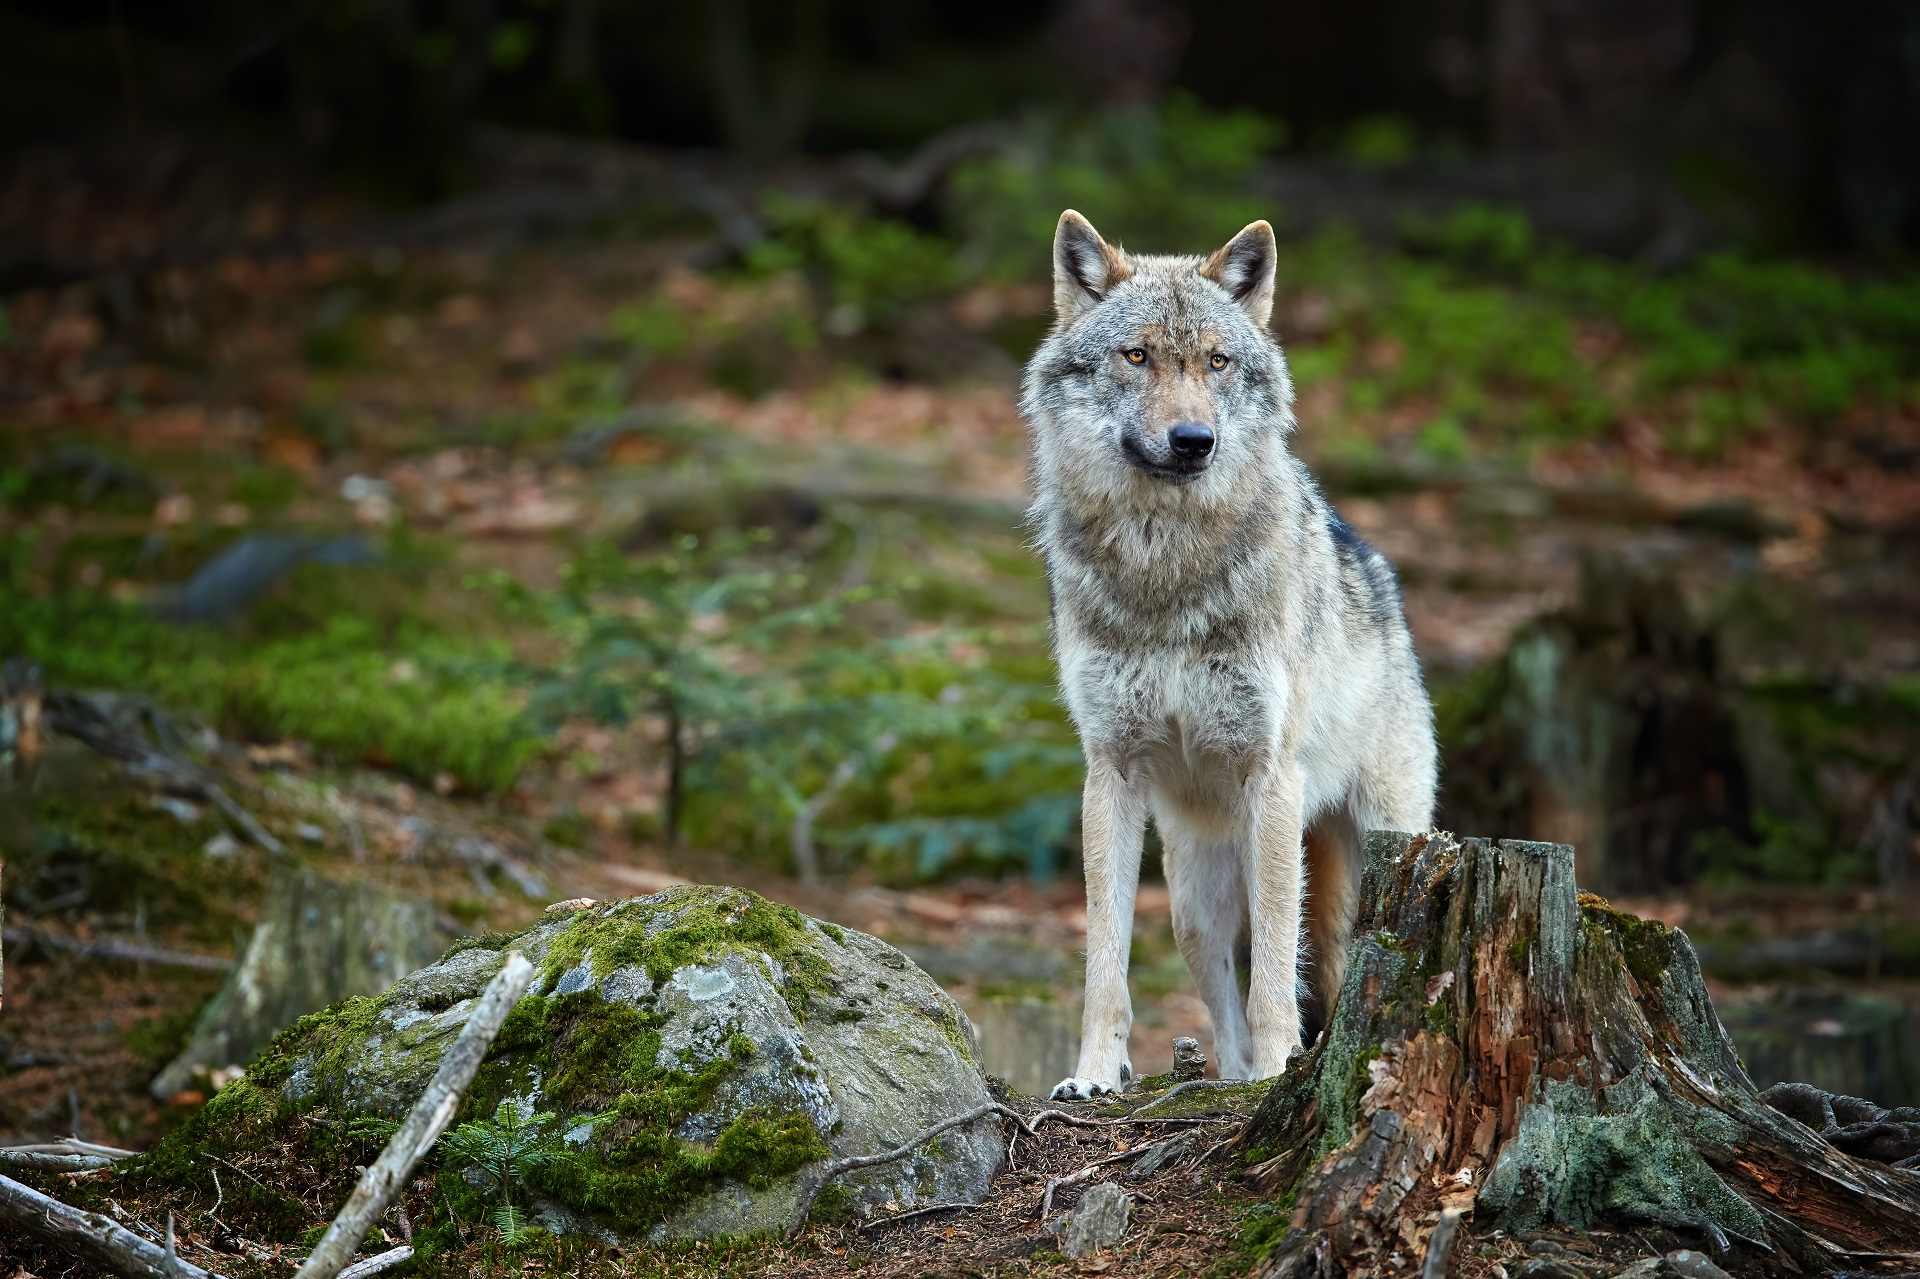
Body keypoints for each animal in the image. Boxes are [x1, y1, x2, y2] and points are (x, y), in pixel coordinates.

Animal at [1022, 210, 1436, 1099]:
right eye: (1137, 355)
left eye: (1216, 361)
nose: (1193, 440)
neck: (1165, 569)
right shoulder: (1110, 770)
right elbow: (1104, 962)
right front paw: (1094, 1073)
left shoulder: (1269, 776)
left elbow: (1277, 967)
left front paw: (1280, 1071)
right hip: (1191, 896)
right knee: (1217, 988)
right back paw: (1227, 1076)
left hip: (1383, 843)